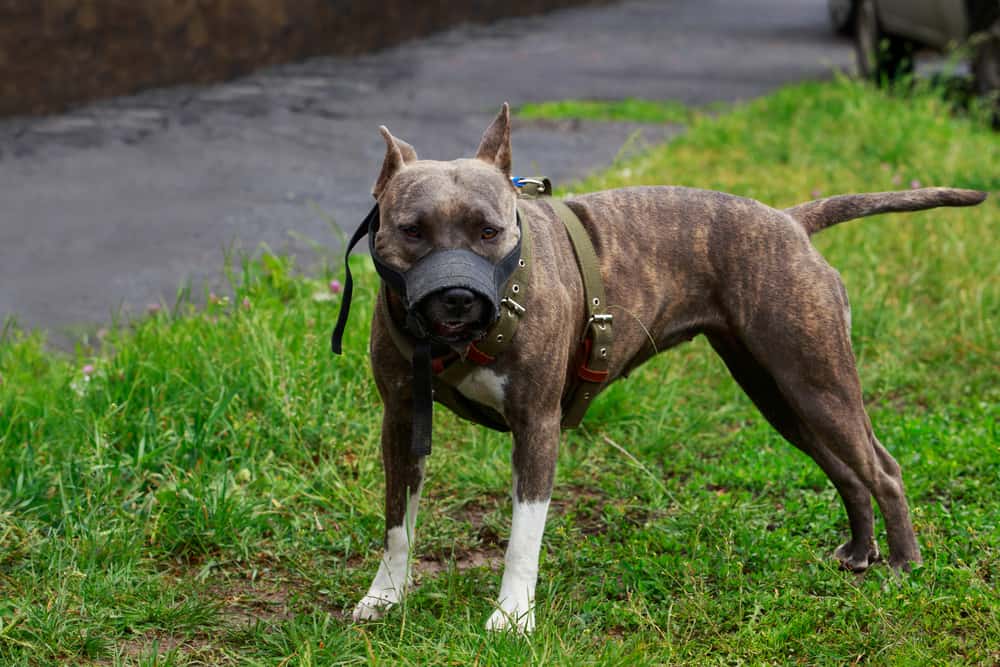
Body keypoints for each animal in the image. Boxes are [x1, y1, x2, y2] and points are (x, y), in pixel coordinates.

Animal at [348, 103, 988, 632]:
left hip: (820, 383)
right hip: (782, 396)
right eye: (411, 230)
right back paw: (859, 553)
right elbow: (397, 523)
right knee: (849, 472)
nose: (456, 298)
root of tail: (789, 220)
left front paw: (511, 616)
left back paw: (903, 565)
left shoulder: (537, 426)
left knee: (883, 469)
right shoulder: (400, 419)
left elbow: (521, 538)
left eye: (489, 230)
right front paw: (386, 597)